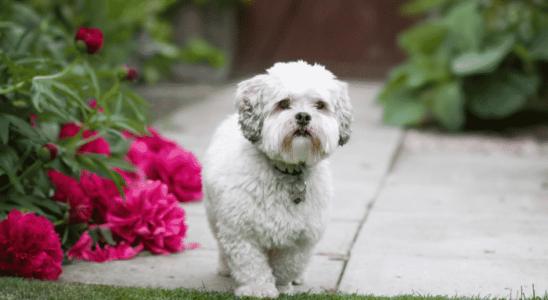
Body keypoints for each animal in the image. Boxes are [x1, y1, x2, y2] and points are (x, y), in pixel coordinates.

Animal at [203, 61, 354, 298]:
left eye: (319, 105)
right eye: (284, 104)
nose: (303, 116)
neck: (288, 171)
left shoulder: (302, 238)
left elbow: (287, 265)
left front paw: (282, 285)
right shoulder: (240, 231)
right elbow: (251, 264)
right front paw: (257, 288)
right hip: (213, 214)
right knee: (220, 243)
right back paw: (225, 268)